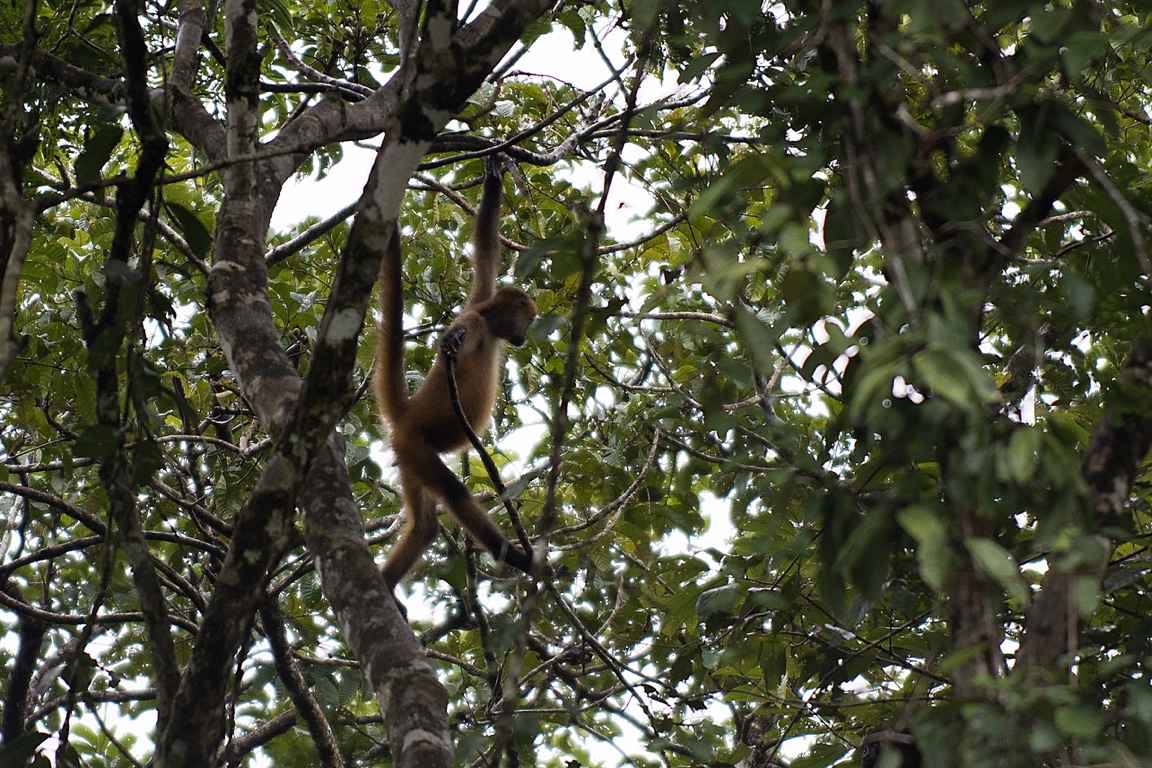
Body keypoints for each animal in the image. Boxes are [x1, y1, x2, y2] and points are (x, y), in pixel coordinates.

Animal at [375, 156, 537, 589]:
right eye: (530, 321)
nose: (526, 338)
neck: (489, 327)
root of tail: (407, 413)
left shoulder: (478, 297)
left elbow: (486, 250)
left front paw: (495, 178)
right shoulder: (473, 320)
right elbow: (455, 337)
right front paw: (449, 341)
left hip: (407, 457)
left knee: (425, 527)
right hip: (415, 446)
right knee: (454, 494)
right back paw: (518, 559)